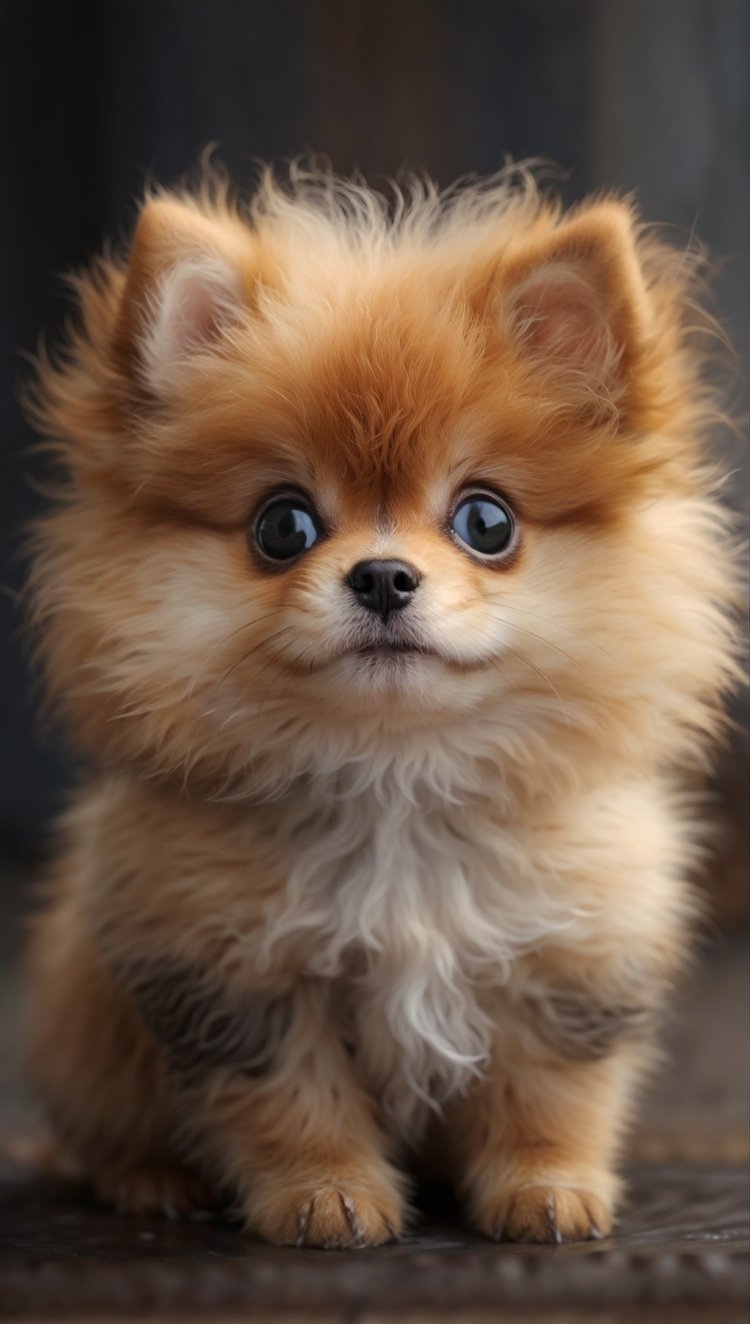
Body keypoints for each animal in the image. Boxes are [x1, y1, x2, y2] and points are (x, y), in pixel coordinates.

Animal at [25, 160, 742, 1244]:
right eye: (283, 525)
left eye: (486, 521)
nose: (384, 576)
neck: (396, 777)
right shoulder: (234, 976)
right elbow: (292, 1103)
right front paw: (326, 1197)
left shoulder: (574, 958)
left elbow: (550, 1095)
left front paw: (547, 1190)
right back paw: (151, 1181)